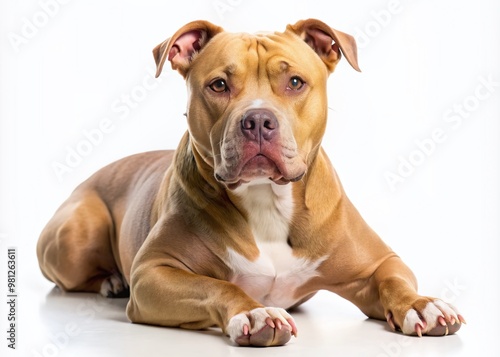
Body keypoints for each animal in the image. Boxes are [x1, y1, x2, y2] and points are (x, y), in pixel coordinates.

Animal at [38, 18, 464, 344]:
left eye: (295, 82)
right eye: (219, 85)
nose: (258, 120)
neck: (266, 199)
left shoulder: (378, 263)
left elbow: (395, 281)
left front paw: (422, 304)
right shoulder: (153, 273)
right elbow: (218, 285)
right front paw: (256, 314)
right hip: (78, 233)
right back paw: (111, 281)